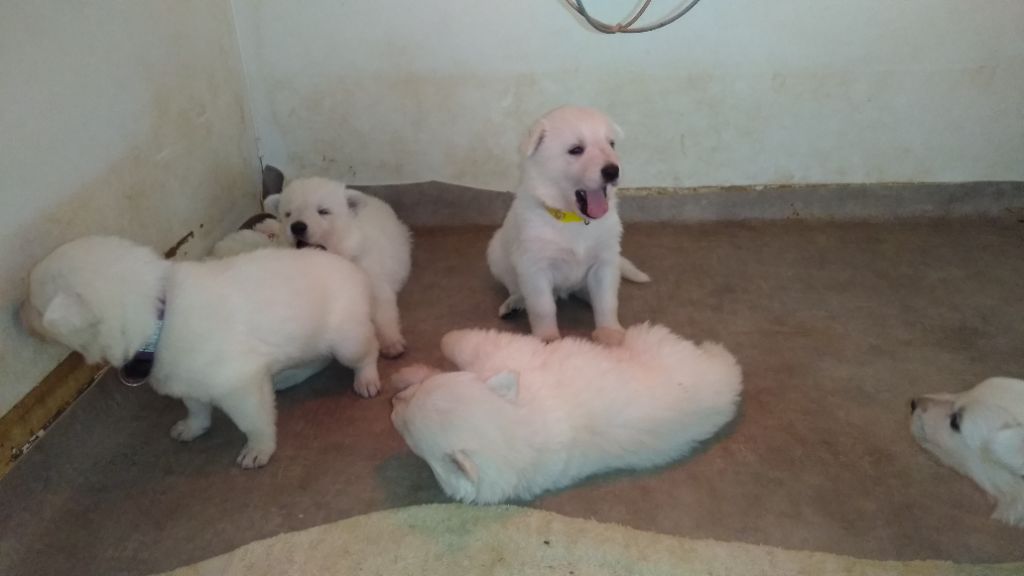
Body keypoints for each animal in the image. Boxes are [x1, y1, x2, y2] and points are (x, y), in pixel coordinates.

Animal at [22, 236, 382, 467]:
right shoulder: (187, 381)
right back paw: (286, 378)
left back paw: (366, 379)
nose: (18, 315)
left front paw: (259, 449)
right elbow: (196, 409)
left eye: (36, 307)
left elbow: (255, 422)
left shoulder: (240, 385)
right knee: (314, 360)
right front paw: (192, 427)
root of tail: (352, 267)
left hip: (347, 340)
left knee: (367, 351)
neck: (159, 318)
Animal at [266, 177, 413, 356]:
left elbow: (381, 301)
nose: (297, 227)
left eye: (323, 211)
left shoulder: (367, 266)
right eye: (288, 213)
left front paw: (392, 343)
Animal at [387, 323, 741, 502]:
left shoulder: (505, 351)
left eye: (408, 432)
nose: (392, 406)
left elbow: (459, 341)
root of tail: (724, 384)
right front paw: (409, 375)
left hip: (652, 340)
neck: (519, 422)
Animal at [485, 105, 647, 342]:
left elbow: (606, 301)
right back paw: (514, 303)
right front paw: (548, 338)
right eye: (576, 149)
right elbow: (543, 308)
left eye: (611, 144)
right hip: (496, 253)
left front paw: (610, 332)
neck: (575, 220)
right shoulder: (535, 267)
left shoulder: (605, 262)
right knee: (516, 287)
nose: (613, 170)